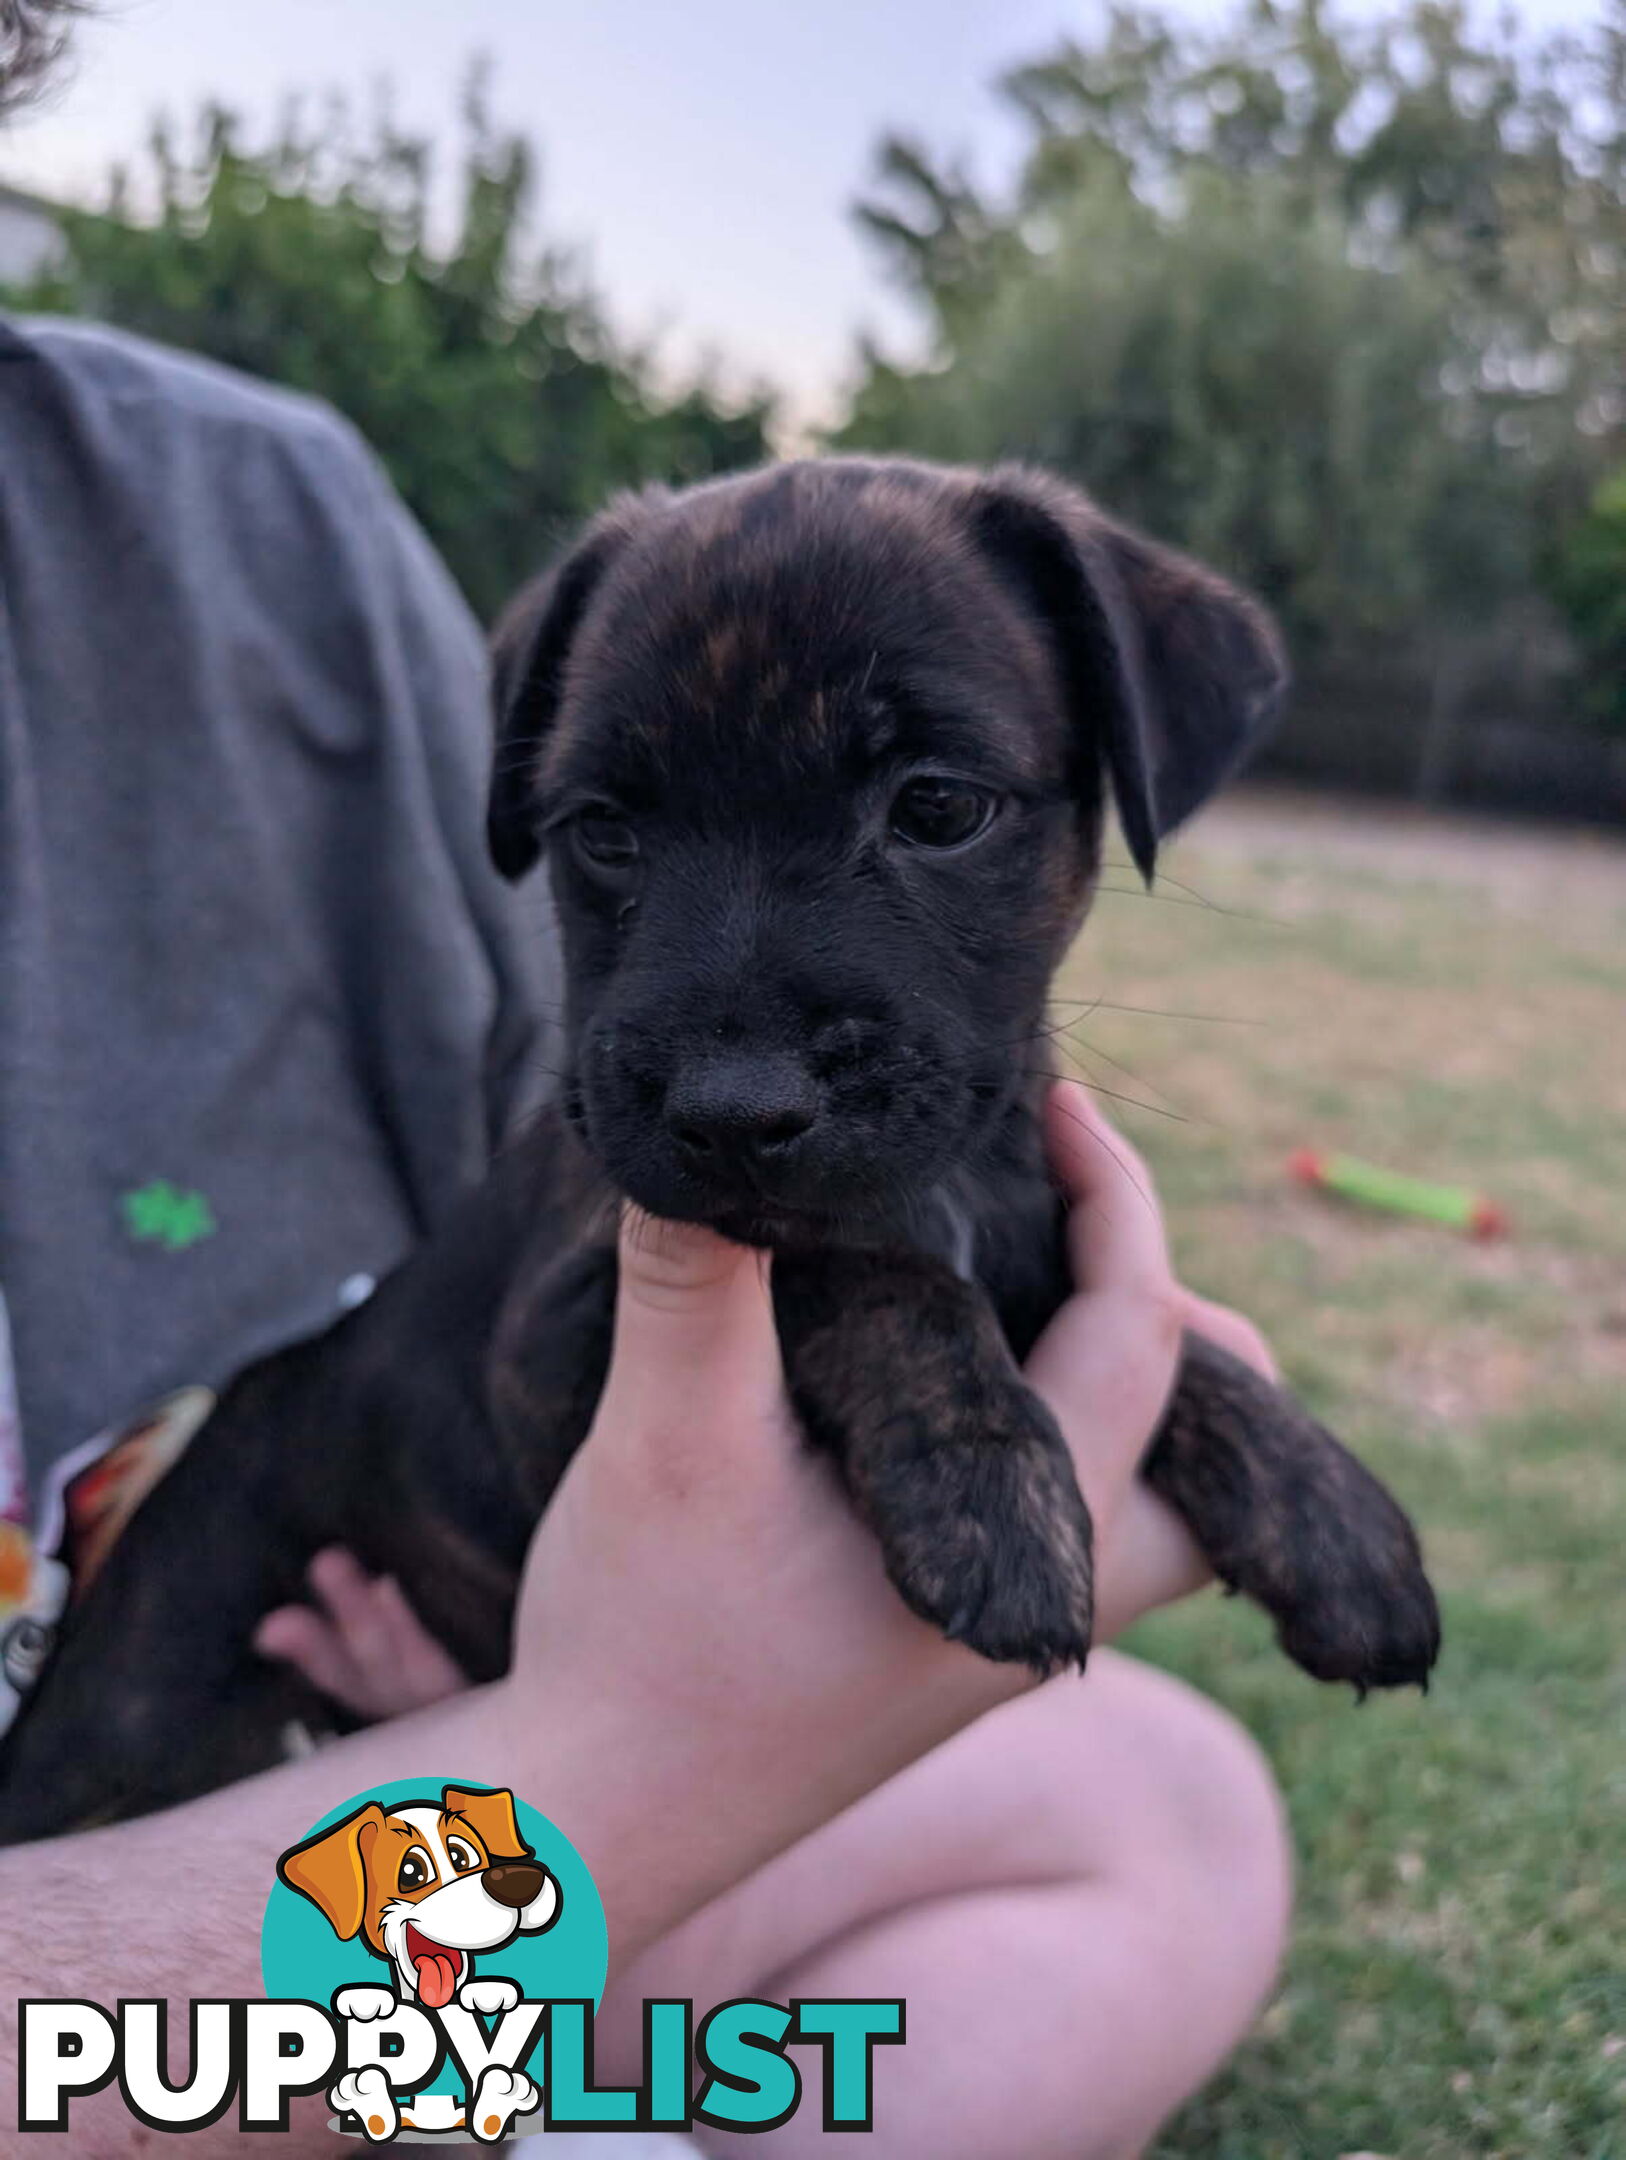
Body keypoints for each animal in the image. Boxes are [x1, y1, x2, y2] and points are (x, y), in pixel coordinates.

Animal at [0, 455, 1433, 1840]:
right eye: (601, 830)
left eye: (938, 808)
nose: (735, 1106)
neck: (957, 1181)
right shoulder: (545, 1359)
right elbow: (857, 1270)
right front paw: (986, 1482)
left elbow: (1157, 1335)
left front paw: (1330, 1513)